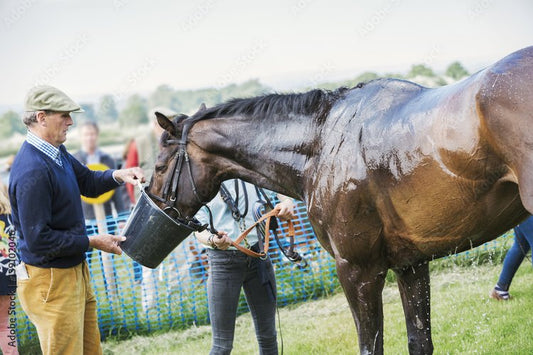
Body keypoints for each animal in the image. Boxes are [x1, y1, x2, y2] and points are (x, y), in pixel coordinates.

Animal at [144, 46, 532, 354]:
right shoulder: (411, 265)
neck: (322, 143)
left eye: (160, 165)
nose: (155, 203)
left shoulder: (357, 271)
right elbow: (419, 341)